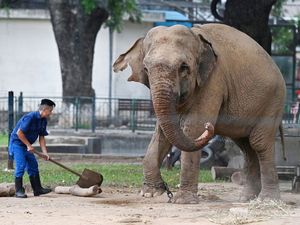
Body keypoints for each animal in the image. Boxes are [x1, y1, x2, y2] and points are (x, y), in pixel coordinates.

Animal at [112, 23, 286, 204]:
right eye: (146, 69)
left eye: (184, 67)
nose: (210, 127)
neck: (196, 36)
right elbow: (161, 133)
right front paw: (150, 193)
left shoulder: (214, 81)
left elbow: (193, 128)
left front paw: (182, 201)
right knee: (247, 147)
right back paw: (246, 199)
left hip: (273, 101)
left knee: (259, 143)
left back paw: (267, 200)